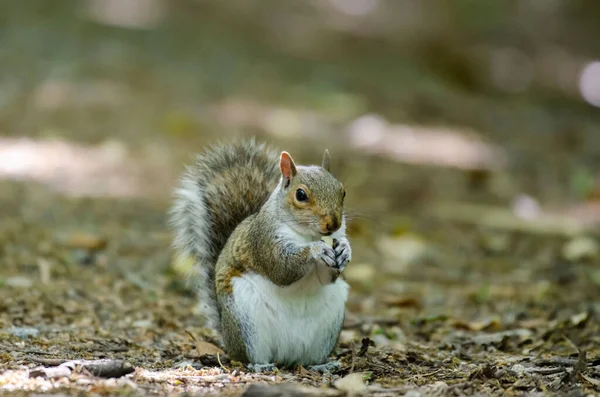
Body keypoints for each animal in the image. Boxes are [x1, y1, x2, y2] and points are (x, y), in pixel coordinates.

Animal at [169, 139, 352, 372]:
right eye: (301, 195)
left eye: (343, 191)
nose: (333, 224)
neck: (308, 234)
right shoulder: (264, 240)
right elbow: (281, 269)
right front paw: (316, 250)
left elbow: (327, 276)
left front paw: (345, 250)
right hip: (246, 323)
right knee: (247, 357)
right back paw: (259, 366)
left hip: (326, 329)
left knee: (306, 360)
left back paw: (321, 366)